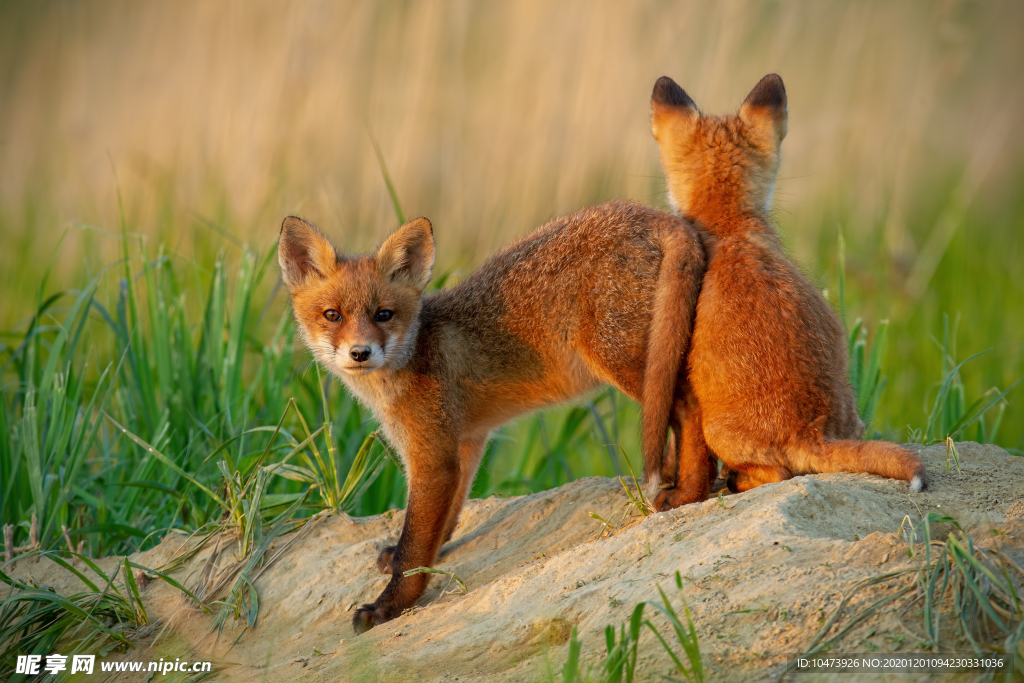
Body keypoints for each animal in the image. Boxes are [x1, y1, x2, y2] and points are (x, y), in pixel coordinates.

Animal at [276, 200, 704, 634]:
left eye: (383, 315)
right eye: (332, 315)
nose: (360, 353)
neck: (416, 353)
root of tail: (643, 211)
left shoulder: (432, 458)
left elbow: (415, 548)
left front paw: (387, 607)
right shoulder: (464, 444)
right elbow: (444, 522)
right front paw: (407, 558)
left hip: (629, 363)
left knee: (690, 408)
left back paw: (689, 493)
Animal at [647, 73, 929, 511]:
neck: (729, 227)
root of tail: (812, 432)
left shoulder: (687, 386)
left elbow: (687, 458)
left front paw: (677, 494)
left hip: (719, 430)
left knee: (775, 474)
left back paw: (738, 482)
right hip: (853, 416)